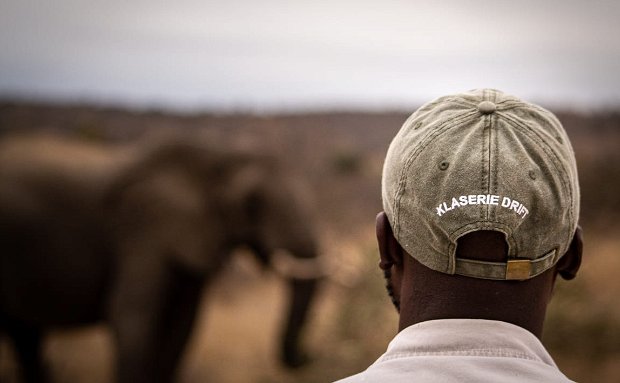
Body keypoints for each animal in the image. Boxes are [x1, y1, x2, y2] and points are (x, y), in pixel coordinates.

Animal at [0, 134, 320, 382]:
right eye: (252, 202)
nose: (308, 356)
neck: (213, 153)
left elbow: (182, 325)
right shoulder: (141, 231)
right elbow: (132, 316)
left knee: (25, 338)